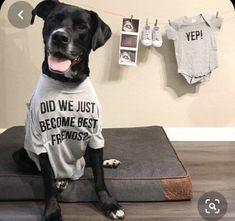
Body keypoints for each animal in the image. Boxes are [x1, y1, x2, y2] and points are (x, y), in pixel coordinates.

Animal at [12, 0, 125, 220]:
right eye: (53, 19)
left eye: (82, 27)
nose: (59, 37)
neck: (67, 84)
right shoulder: (41, 141)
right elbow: (47, 181)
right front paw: (52, 210)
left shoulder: (95, 135)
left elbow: (99, 177)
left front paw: (109, 204)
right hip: (20, 155)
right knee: (43, 171)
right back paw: (61, 180)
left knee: (90, 161)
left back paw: (109, 162)